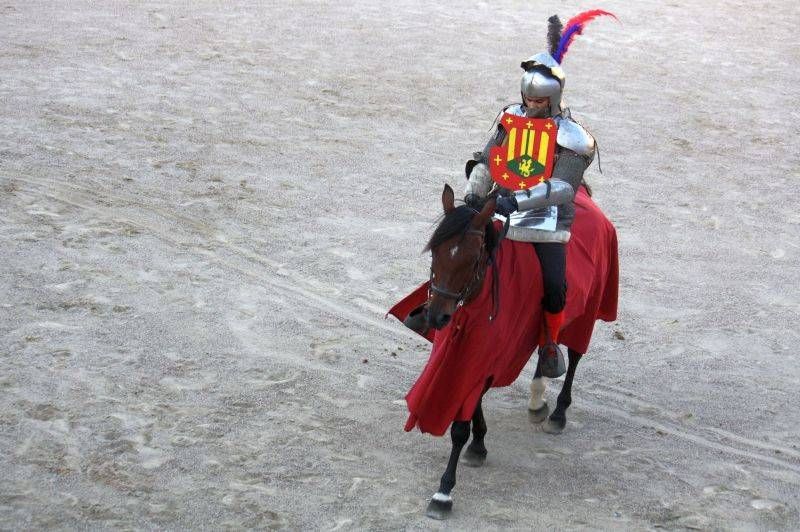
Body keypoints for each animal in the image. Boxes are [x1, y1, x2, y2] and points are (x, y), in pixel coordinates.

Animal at [388, 183, 620, 520]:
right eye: (435, 252)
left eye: (473, 259)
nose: (436, 317)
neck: (478, 300)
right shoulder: (468, 356)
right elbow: (472, 408)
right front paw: (478, 446)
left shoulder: (484, 360)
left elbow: (460, 424)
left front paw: (444, 492)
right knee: (546, 344)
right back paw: (538, 398)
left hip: (587, 311)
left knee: (575, 354)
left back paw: (558, 413)